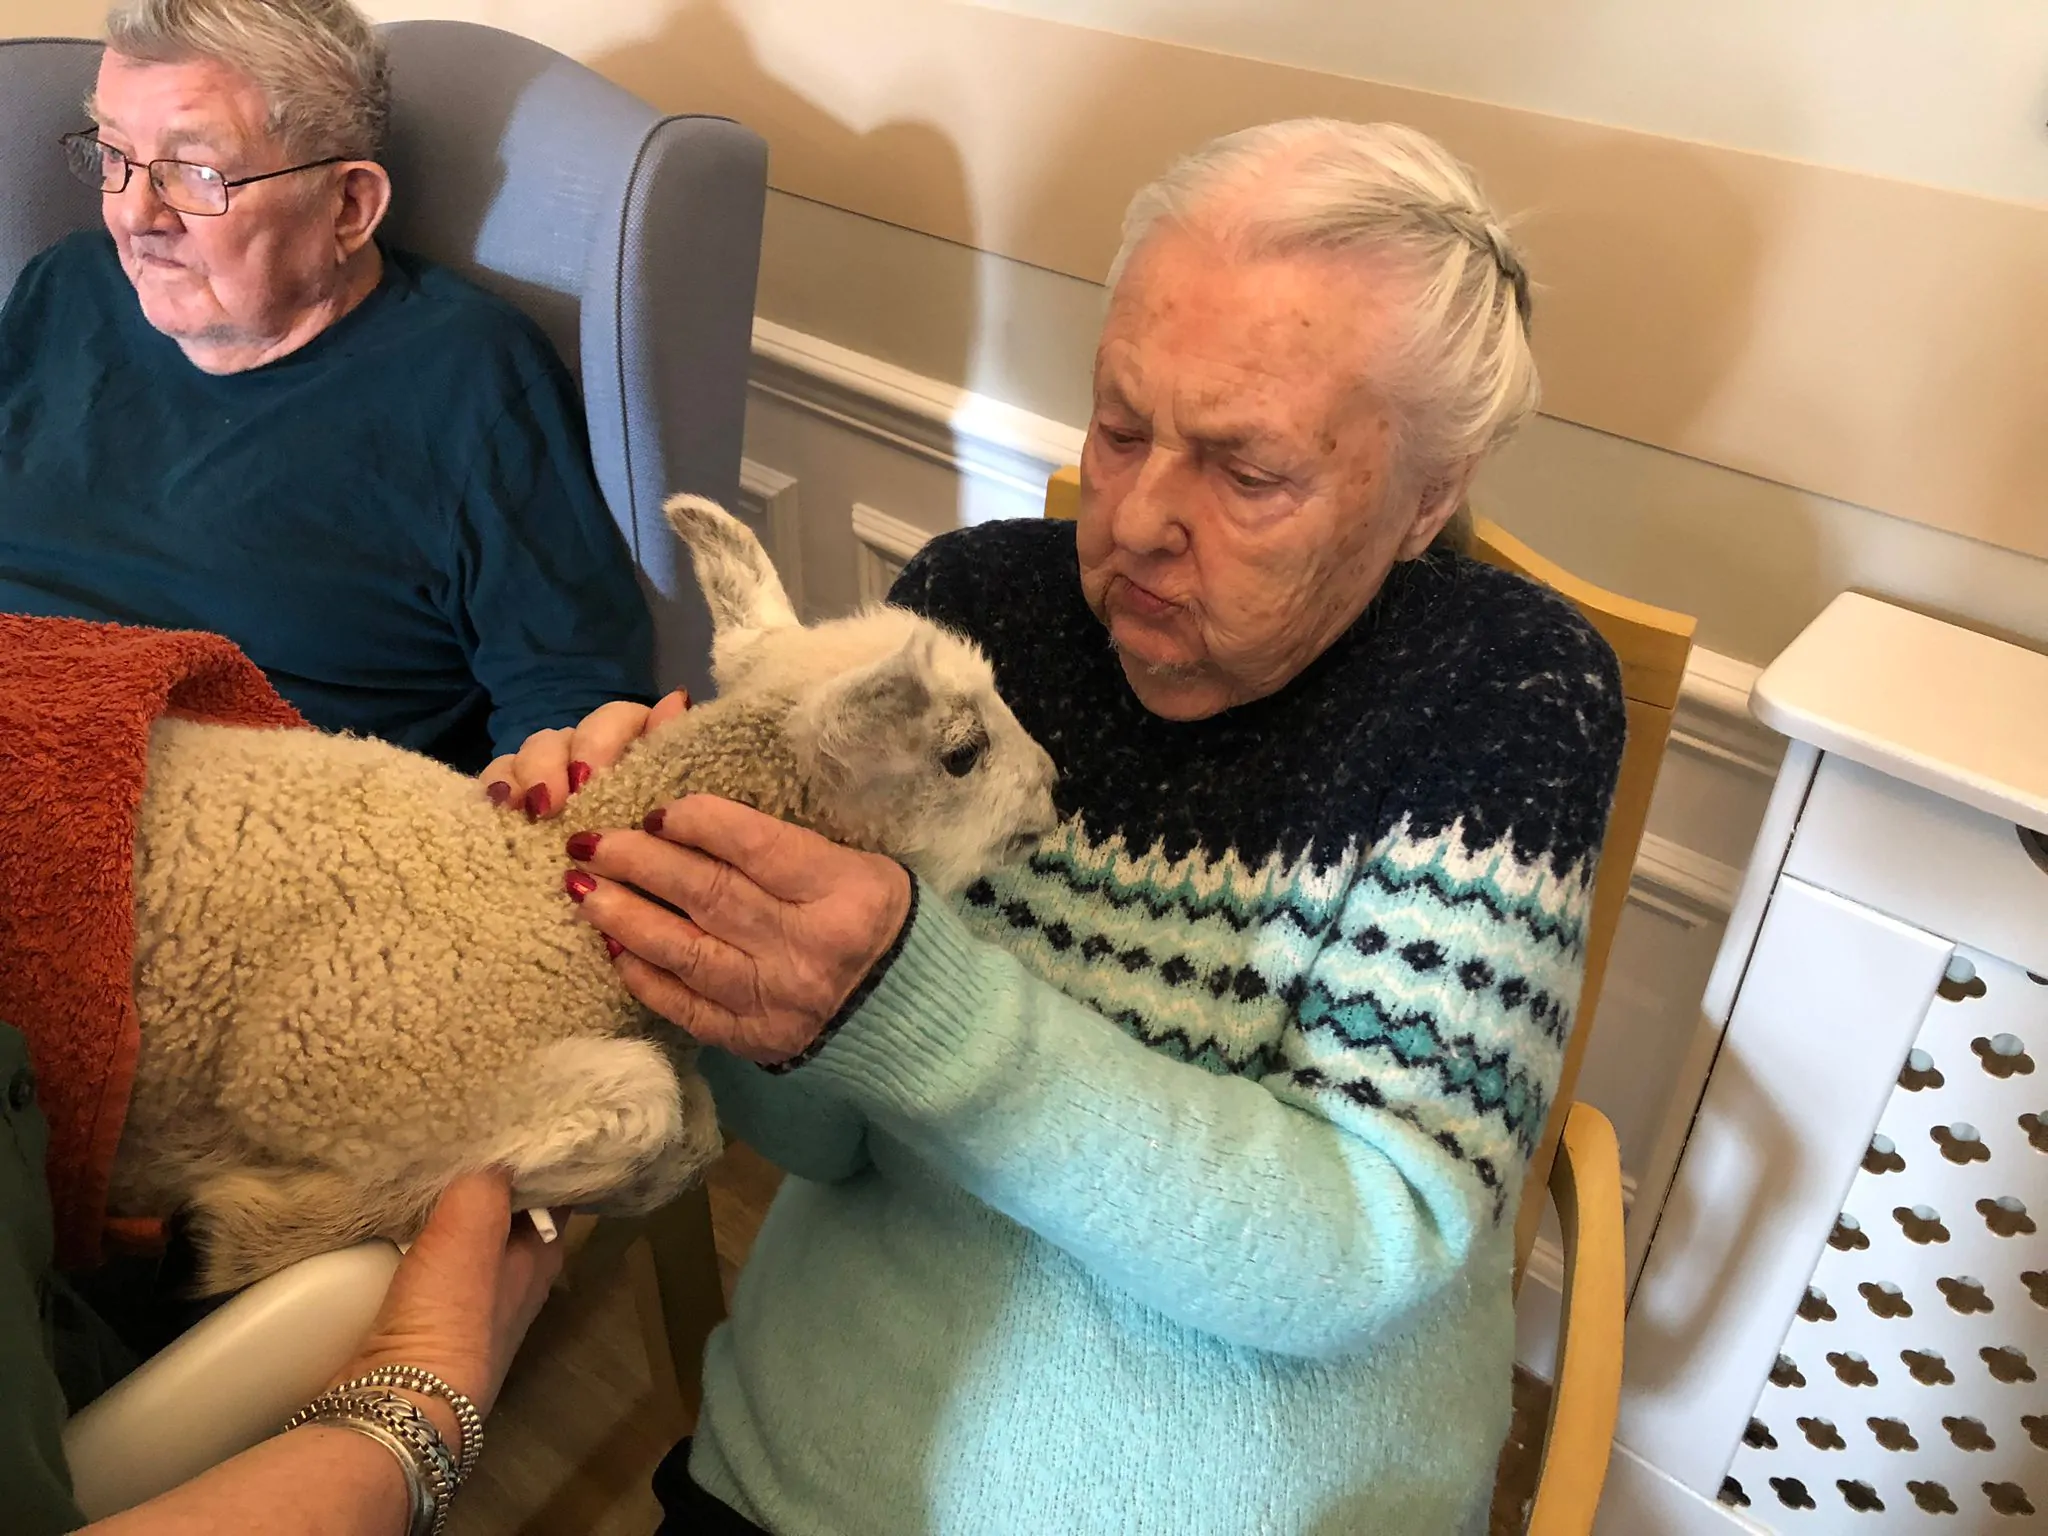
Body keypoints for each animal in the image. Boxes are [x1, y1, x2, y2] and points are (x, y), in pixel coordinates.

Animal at [110, 496, 1059, 1293]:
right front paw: (248, 1237)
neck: (542, 916)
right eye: (963, 753)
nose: (1052, 786)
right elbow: (652, 1108)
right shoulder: (333, 1075)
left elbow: (692, 1127)